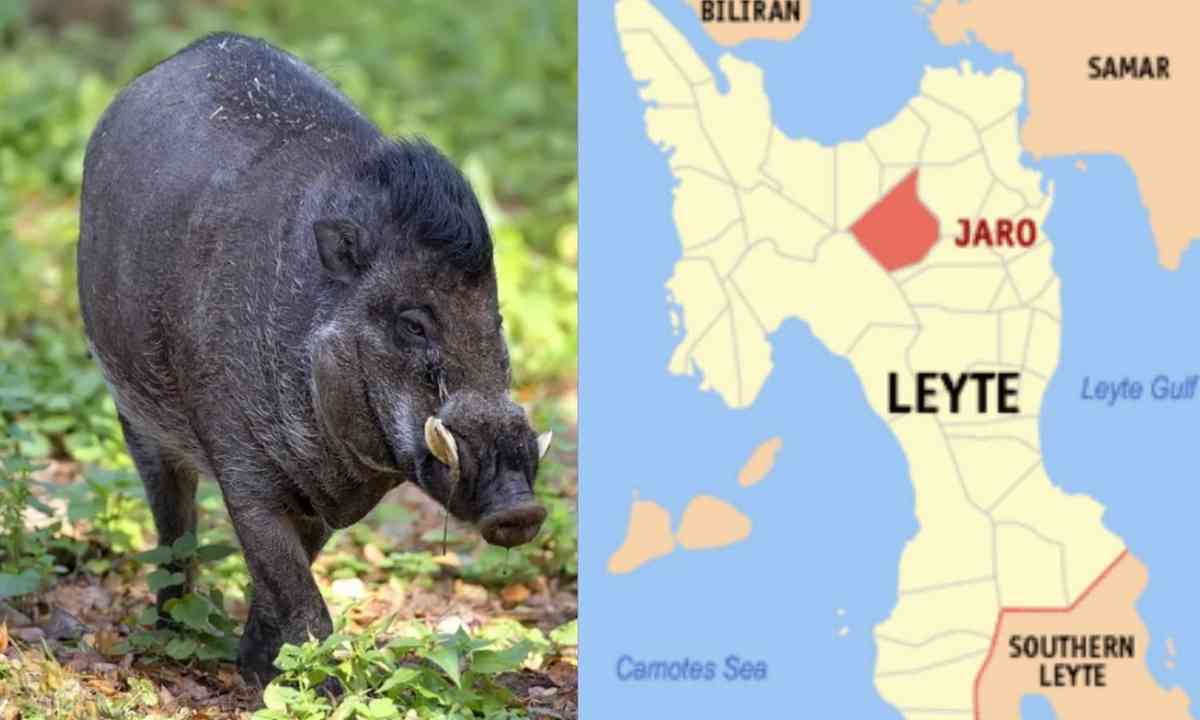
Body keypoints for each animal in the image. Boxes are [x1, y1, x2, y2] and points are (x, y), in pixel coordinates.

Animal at [76, 33, 551, 685]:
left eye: (497, 321)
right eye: (412, 323)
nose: (520, 509)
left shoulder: (326, 499)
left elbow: (287, 576)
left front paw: (258, 669)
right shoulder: (242, 467)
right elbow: (301, 598)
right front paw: (307, 686)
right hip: (132, 411)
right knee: (173, 521)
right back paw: (171, 625)